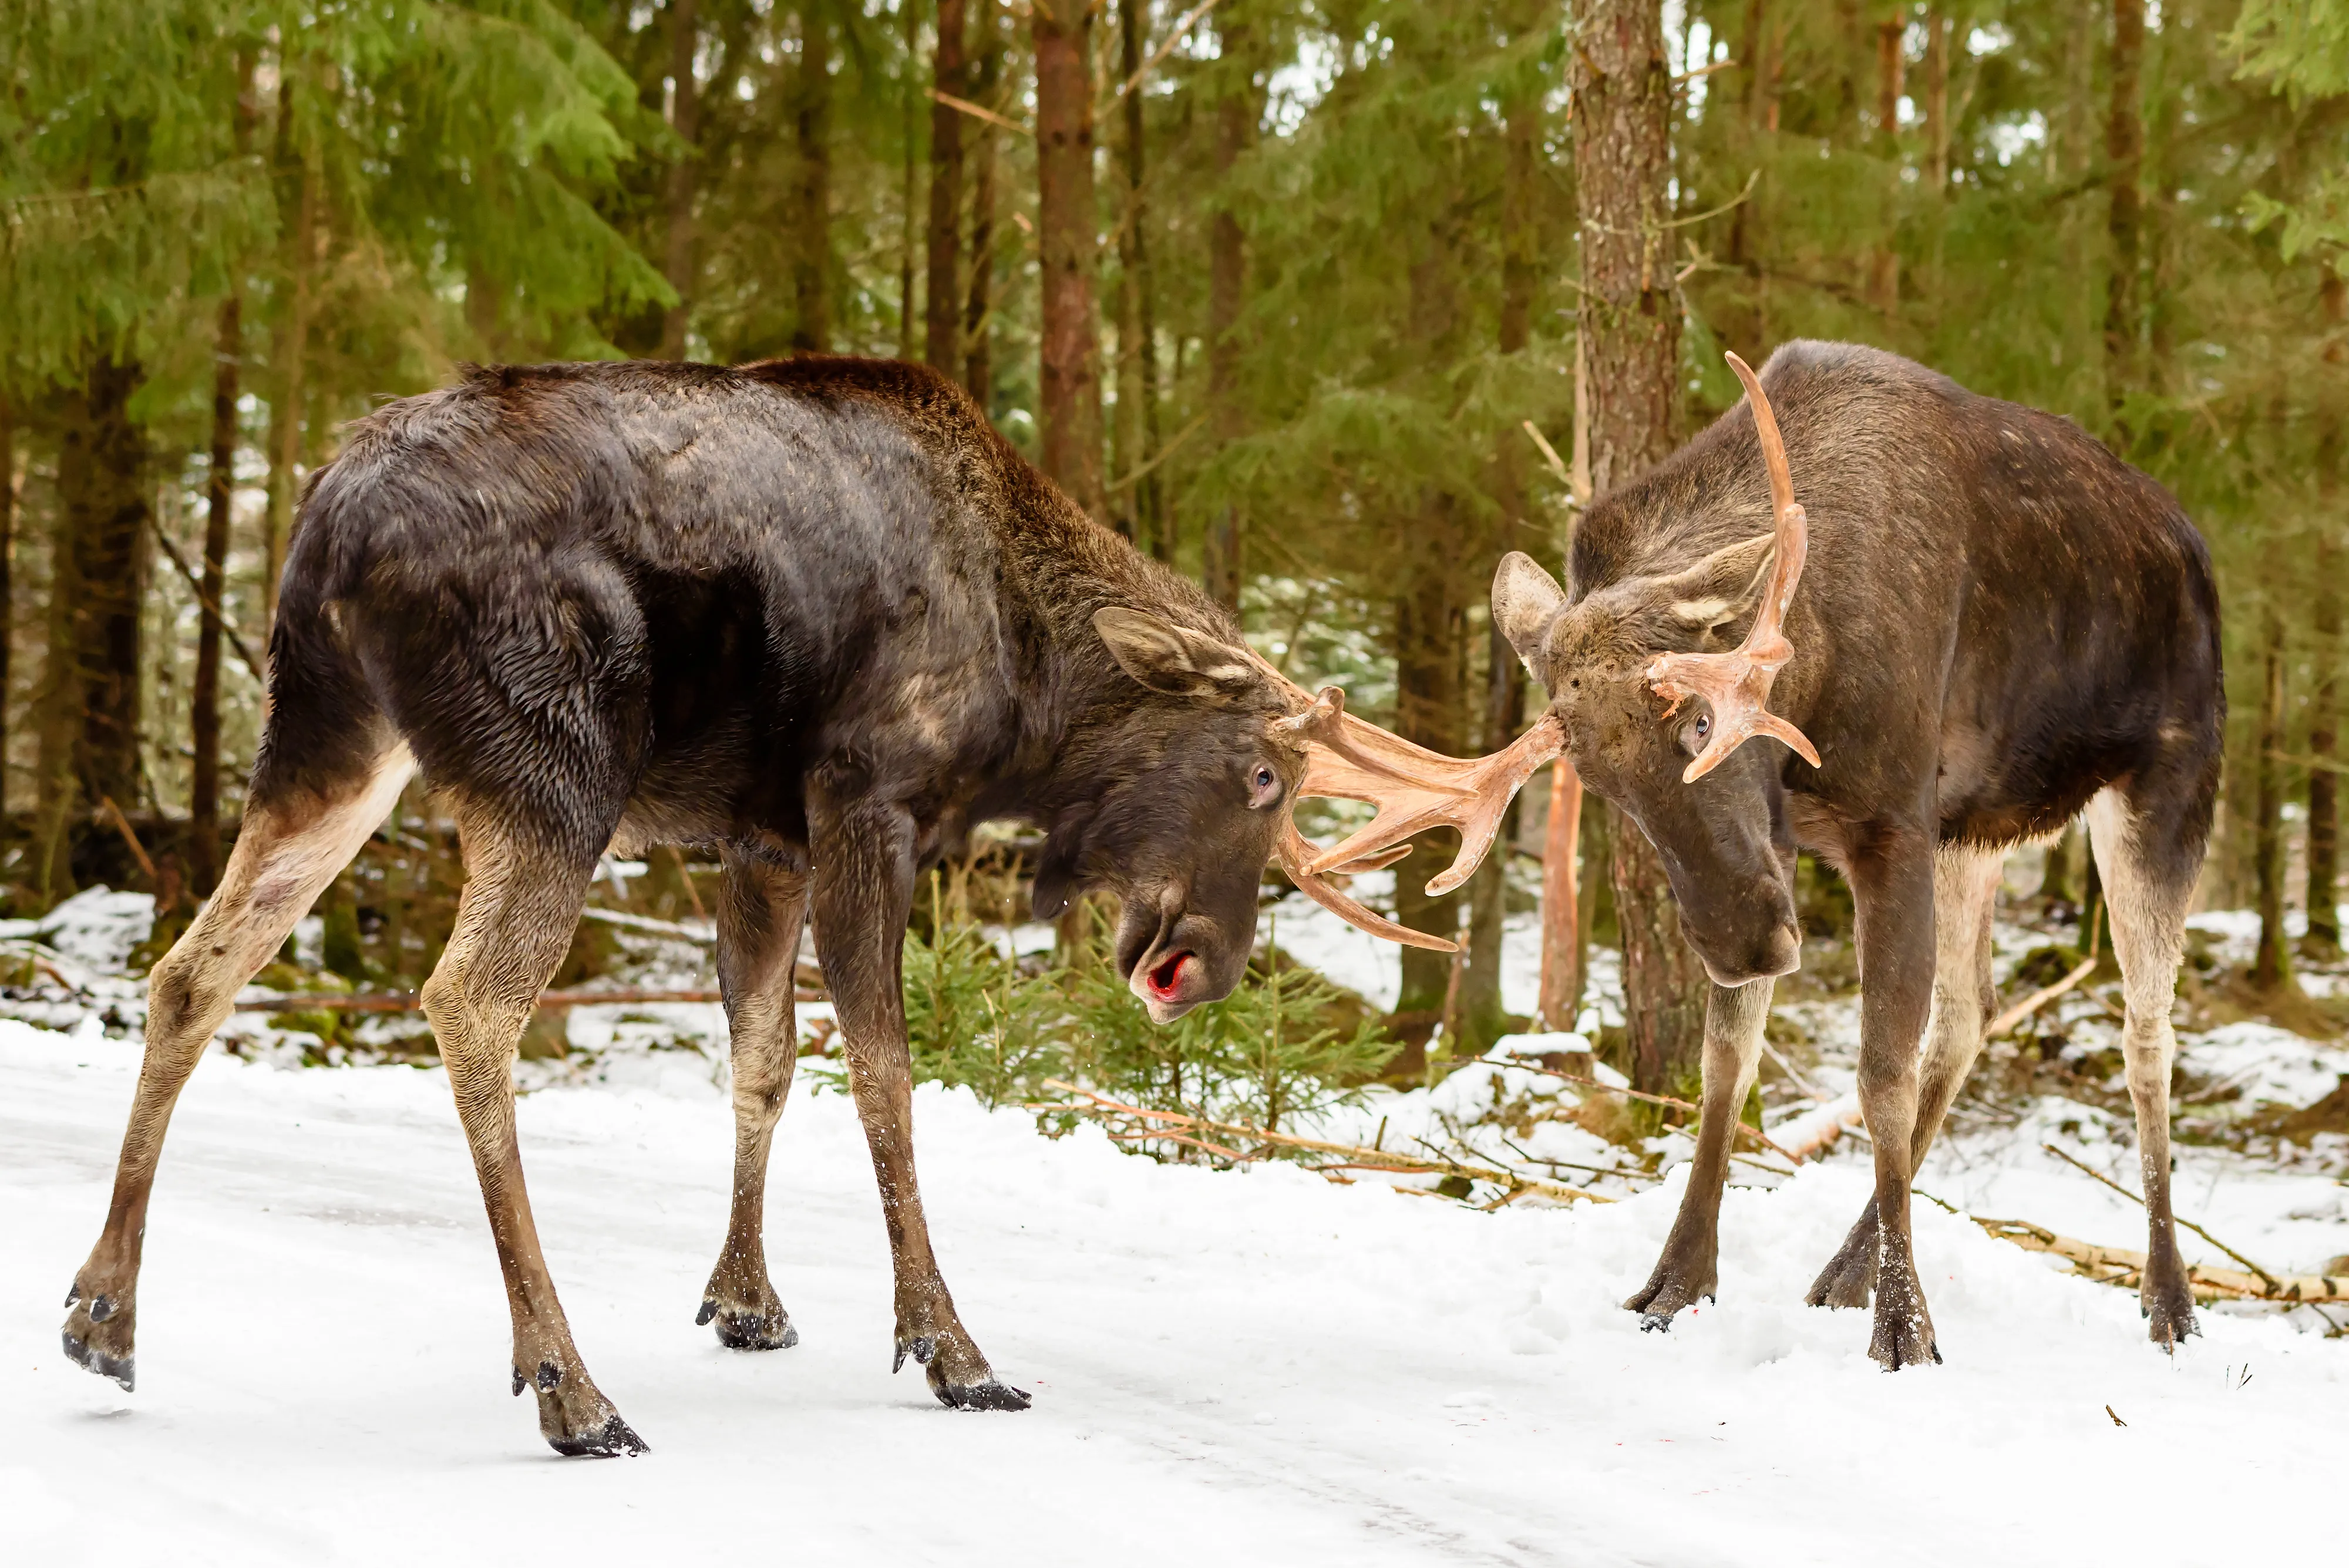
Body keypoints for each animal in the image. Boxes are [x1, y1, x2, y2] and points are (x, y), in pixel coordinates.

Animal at [59, 359, 1466, 1455]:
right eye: (1267, 777)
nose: (1211, 964)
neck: (1028, 694)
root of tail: (333, 528)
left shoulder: (762, 837)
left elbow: (765, 1056)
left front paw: (746, 1300)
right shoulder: (865, 800)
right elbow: (884, 1070)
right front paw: (951, 1351)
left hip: (330, 744)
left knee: (194, 969)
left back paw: (103, 1315)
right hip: (551, 765)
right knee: (467, 1004)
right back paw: (569, 1387)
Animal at [1362, 340, 2217, 1361]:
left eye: (1700, 720)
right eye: (1601, 783)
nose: (1747, 946)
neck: (1810, 686)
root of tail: (2195, 543)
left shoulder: (1892, 824)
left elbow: (1879, 1070)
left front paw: (1906, 1327)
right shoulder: (1801, 849)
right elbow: (1728, 1059)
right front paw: (1677, 1281)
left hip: (2167, 789)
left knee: (2146, 1032)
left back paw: (2169, 1297)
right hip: (1976, 831)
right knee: (1972, 1013)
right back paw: (1844, 1269)